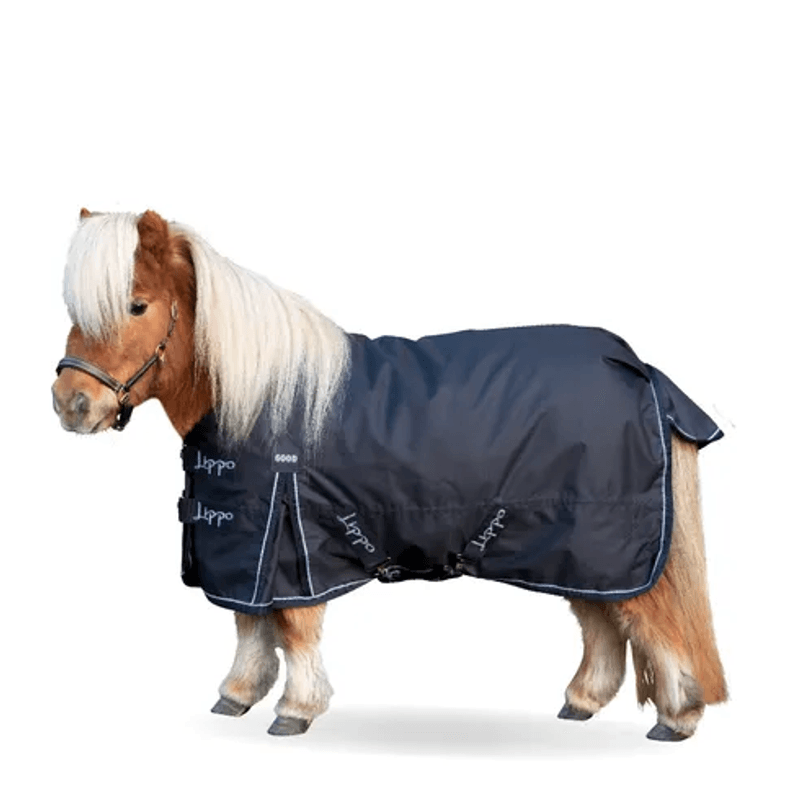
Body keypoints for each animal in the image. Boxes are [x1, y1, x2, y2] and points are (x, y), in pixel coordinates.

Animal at [52, 209, 727, 742]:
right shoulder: (243, 547)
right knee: (603, 623)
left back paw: (677, 718)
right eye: (75, 310)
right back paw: (582, 702)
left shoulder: (292, 543)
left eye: (137, 305)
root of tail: (641, 370)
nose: (70, 403)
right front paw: (237, 695)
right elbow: (249, 625)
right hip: (575, 551)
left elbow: (293, 629)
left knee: (655, 623)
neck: (258, 393)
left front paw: (295, 710)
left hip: (612, 544)